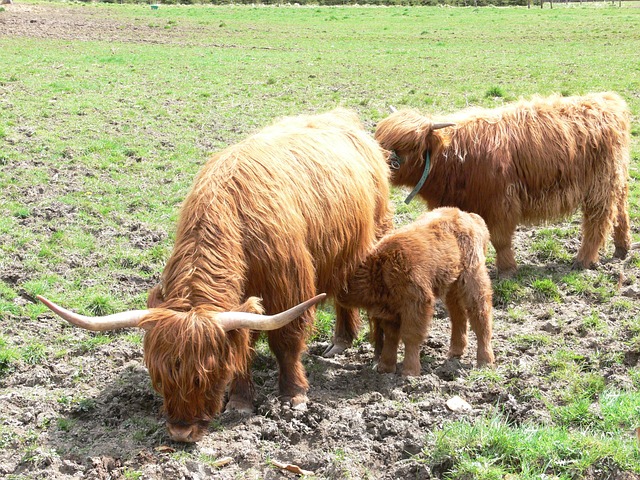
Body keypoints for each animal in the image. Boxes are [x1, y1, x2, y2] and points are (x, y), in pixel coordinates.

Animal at [40, 109, 392, 442]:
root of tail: (340, 116)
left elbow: (286, 343)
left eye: (203, 376)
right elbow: (241, 349)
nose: (181, 433)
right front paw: (240, 401)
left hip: (369, 239)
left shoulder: (289, 289)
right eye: (159, 376)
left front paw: (294, 396)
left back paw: (344, 343)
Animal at [340, 206, 496, 376]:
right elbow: (391, 337)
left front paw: (410, 372)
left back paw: (485, 361)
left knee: (480, 313)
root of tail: (468, 216)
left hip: (472, 278)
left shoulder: (416, 303)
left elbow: (410, 335)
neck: (379, 266)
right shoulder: (389, 309)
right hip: (451, 285)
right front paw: (385, 368)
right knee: (458, 314)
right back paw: (455, 352)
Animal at [378, 92, 632, 276]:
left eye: (408, 147)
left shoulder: (501, 203)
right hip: (616, 181)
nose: (378, 161)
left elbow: (500, 239)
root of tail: (608, 100)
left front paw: (507, 270)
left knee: (598, 222)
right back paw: (622, 248)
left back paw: (583, 260)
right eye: (381, 137)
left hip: (599, 188)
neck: (454, 159)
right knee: (621, 210)